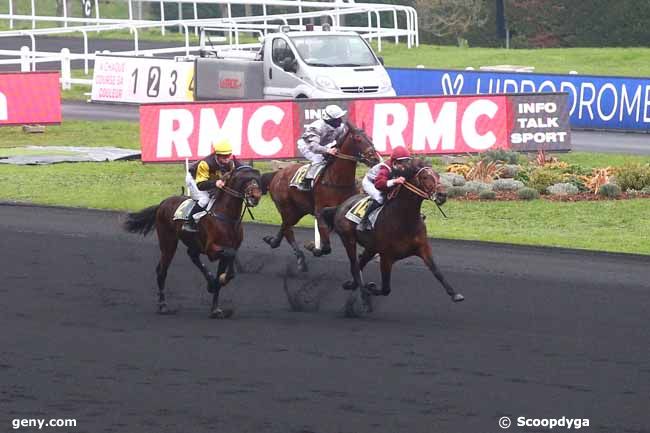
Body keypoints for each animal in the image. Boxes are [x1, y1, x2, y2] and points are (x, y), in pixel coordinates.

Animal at [123, 165, 262, 318]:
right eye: (245, 179)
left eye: (258, 179)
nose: (256, 196)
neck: (226, 217)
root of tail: (162, 203)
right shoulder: (211, 249)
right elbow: (230, 255)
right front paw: (217, 282)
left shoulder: (226, 249)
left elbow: (228, 264)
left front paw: (215, 307)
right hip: (168, 243)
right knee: (162, 270)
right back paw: (163, 305)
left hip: (191, 242)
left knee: (192, 255)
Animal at [260, 120, 380, 272]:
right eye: (358, 138)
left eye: (370, 137)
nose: (375, 158)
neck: (336, 180)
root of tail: (277, 174)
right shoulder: (320, 210)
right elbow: (326, 244)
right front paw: (315, 247)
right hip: (286, 207)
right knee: (288, 229)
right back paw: (300, 259)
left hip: (298, 210)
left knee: (285, 226)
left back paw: (274, 241)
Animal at [322, 158, 464, 314]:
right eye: (425, 177)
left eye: (438, 176)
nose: (442, 195)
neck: (404, 220)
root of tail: (340, 206)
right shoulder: (386, 257)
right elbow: (386, 289)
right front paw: (370, 288)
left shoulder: (423, 248)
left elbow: (437, 271)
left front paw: (455, 294)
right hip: (348, 240)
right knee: (355, 266)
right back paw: (364, 298)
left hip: (371, 248)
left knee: (359, 264)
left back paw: (351, 285)